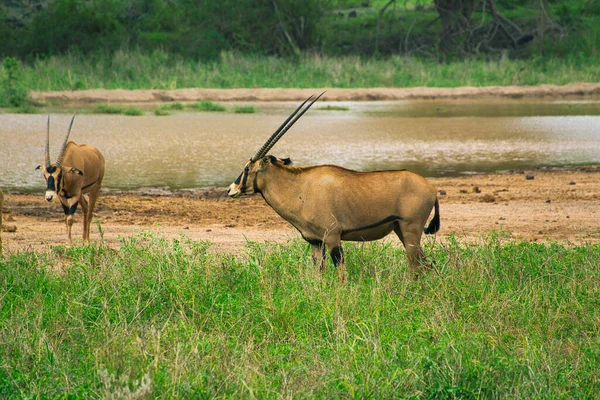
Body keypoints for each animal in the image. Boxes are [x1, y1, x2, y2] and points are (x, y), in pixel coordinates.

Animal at [37, 114, 105, 242]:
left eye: (59, 175)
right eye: (45, 175)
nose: (49, 197)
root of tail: (98, 153)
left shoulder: (75, 195)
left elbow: (70, 219)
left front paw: (69, 243)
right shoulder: (62, 196)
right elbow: (66, 217)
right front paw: (68, 242)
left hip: (95, 188)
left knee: (89, 213)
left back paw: (87, 241)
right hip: (82, 193)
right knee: (85, 208)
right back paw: (84, 240)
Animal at [226, 94, 440, 278]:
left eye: (247, 168)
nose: (230, 190)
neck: (299, 188)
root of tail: (432, 189)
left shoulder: (333, 238)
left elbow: (341, 275)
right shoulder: (315, 242)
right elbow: (318, 275)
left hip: (410, 230)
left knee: (416, 267)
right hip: (401, 230)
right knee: (427, 264)